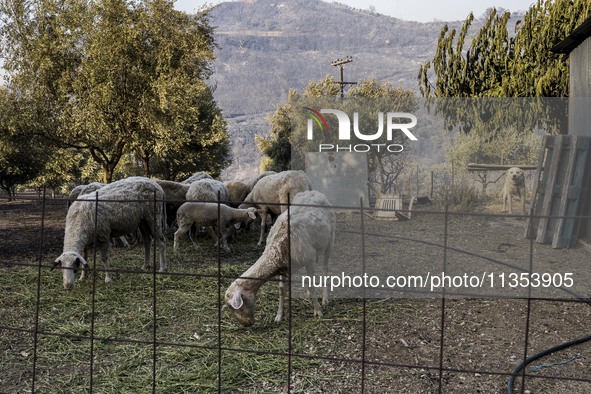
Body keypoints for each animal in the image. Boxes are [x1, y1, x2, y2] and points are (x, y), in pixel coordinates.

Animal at [227, 191, 336, 326]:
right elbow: (281, 289)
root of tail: (315, 192)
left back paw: (325, 299)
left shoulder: (308, 260)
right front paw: (279, 316)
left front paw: (318, 311)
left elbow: (311, 285)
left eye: (235, 306)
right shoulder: (282, 265)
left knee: (325, 268)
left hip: (330, 241)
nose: (248, 324)